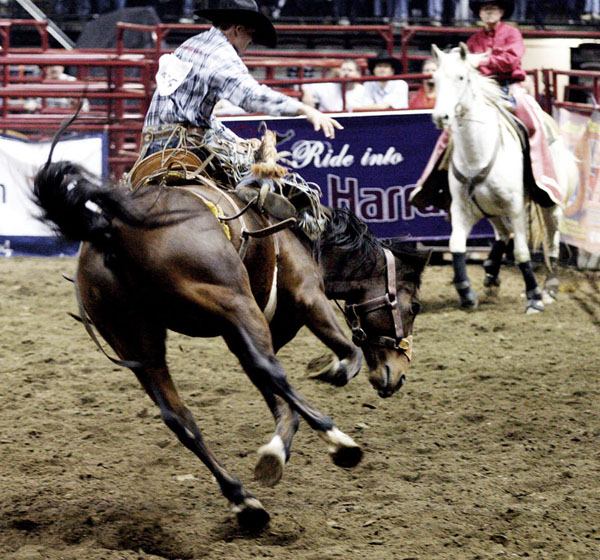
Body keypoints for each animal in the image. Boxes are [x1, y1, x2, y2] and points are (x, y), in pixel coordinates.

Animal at [432, 42, 576, 316]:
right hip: (490, 209)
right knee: (503, 233)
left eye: (461, 77)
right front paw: (466, 292)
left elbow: (521, 253)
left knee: (551, 239)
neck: (477, 153)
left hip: (550, 204)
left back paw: (549, 287)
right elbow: (456, 245)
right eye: (434, 79)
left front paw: (534, 298)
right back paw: (491, 274)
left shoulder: (515, 207)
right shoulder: (462, 209)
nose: (440, 116)